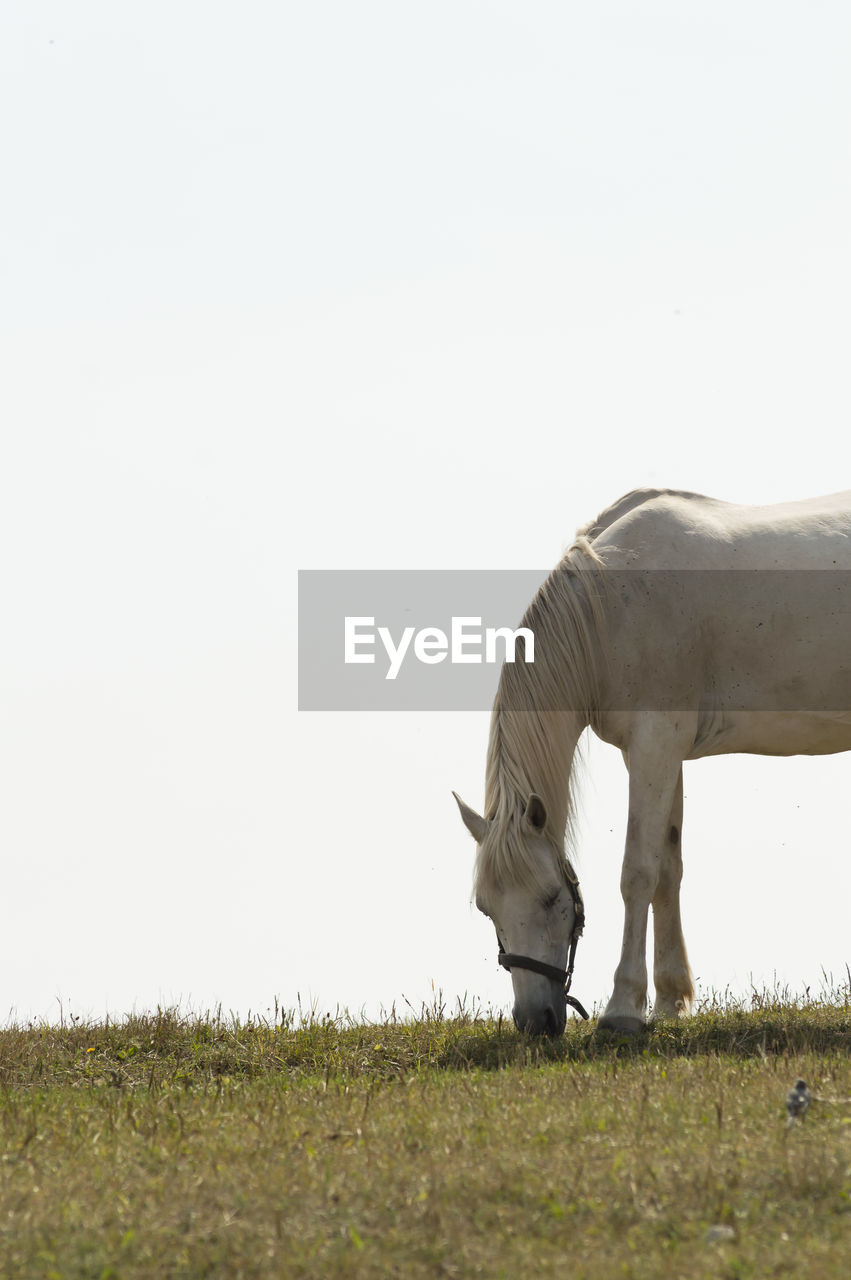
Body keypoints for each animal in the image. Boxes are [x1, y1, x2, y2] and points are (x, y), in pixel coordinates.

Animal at [455, 483, 849, 1034]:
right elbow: (668, 869)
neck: (607, 611)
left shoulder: (656, 744)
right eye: (486, 908)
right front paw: (668, 999)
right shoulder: (658, 754)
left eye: (553, 898)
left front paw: (623, 1008)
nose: (535, 1021)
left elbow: (637, 871)